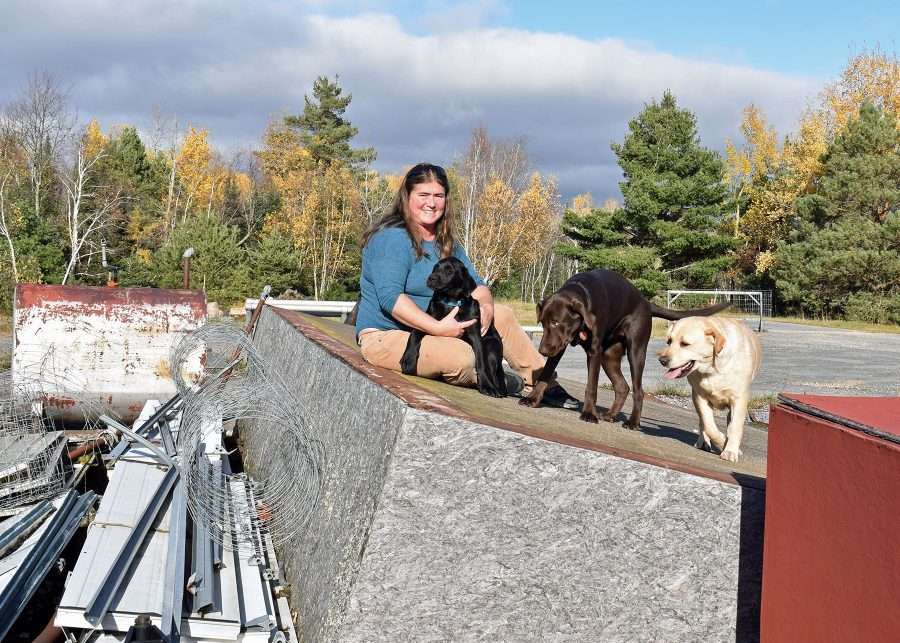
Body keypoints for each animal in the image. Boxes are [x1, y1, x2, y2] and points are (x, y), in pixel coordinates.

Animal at [400, 258, 506, 398]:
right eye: (435, 267)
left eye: (450, 271)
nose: (431, 278)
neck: (450, 302)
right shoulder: (432, 323)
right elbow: (414, 333)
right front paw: (408, 359)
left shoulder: (476, 335)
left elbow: (481, 362)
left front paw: (486, 386)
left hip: (491, 348)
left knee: (491, 370)